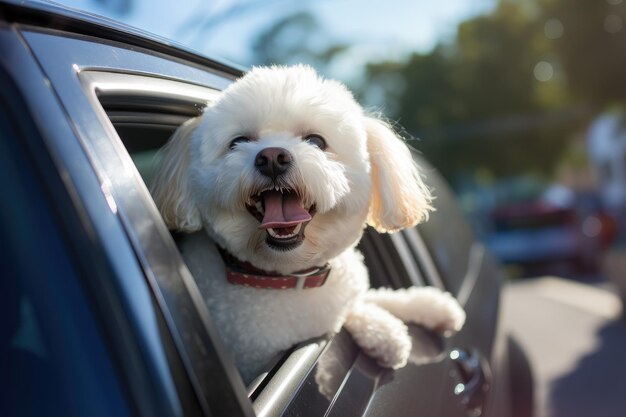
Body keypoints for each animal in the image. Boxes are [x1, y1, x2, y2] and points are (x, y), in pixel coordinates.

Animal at [151, 66, 464, 384]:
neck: (290, 278)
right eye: (237, 142)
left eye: (316, 141)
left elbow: (374, 296)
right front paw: (386, 331)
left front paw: (429, 305)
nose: (272, 157)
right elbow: (350, 314)